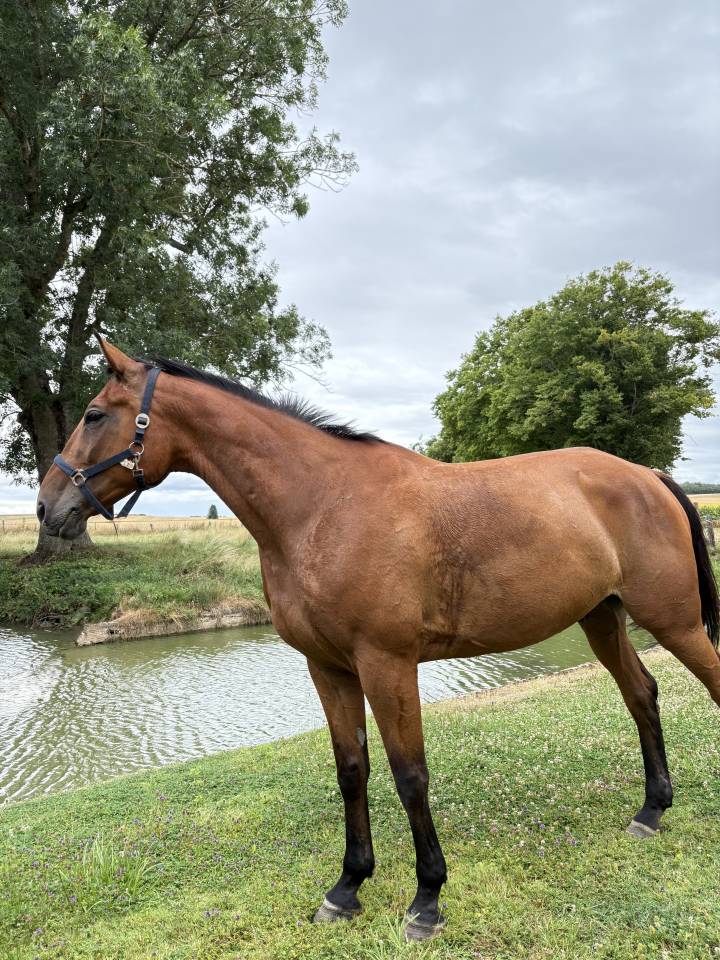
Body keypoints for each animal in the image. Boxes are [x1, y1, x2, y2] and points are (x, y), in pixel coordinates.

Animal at [37, 337, 720, 941]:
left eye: (94, 414)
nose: (48, 507)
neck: (321, 507)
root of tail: (646, 475)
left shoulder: (388, 664)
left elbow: (409, 773)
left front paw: (427, 899)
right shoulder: (328, 667)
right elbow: (353, 770)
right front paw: (347, 887)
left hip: (675, 621)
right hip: (603, 618)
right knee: (642, 695)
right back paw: (652, 810)